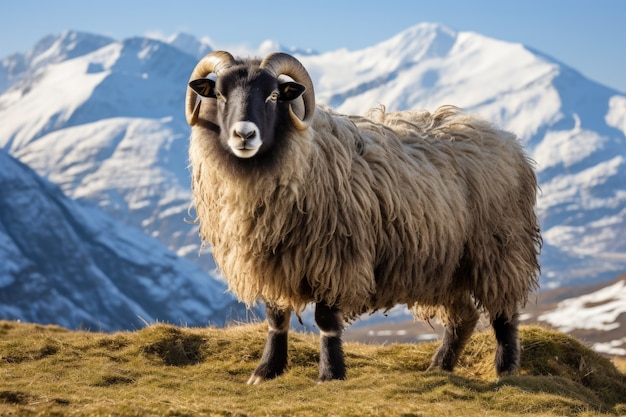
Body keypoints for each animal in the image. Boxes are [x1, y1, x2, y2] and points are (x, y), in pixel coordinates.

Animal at [183, 51, 540, 384]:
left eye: (272, 96)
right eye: (220, 95)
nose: (244, 135)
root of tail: (504, 137)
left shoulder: (337, 258)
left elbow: (326, 321)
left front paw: (330, 374)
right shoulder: (271, 259)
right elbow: (276, 317)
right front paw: (266, 371)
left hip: (498, 248)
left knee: (504, 312)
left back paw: (505, 369)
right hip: (444, 265)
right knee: (464, 316)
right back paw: (440, 365)